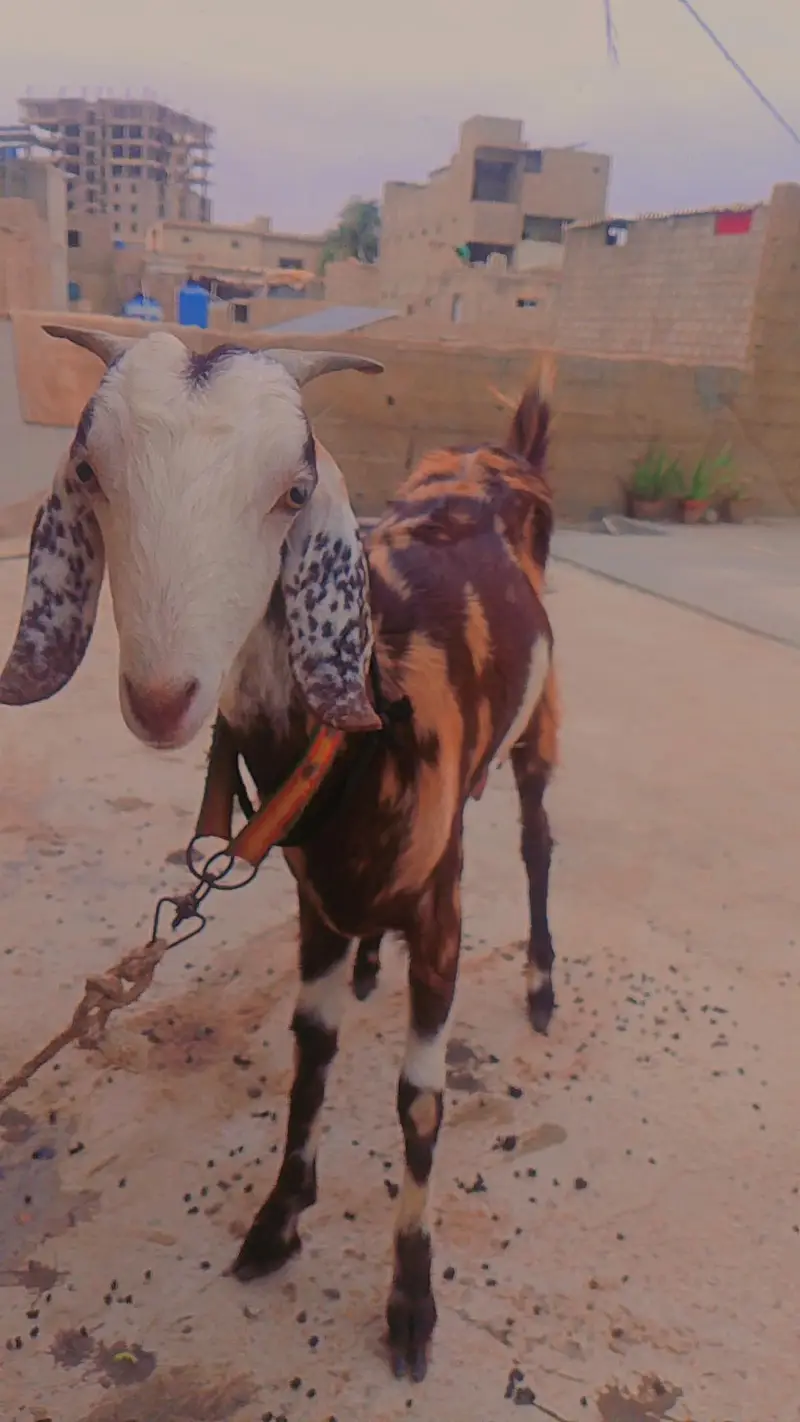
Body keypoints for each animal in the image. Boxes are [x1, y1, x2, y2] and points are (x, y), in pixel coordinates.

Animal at [0, 327, 559, 1382]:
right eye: (89, 471)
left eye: (295, 491)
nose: (163, 699)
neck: (362, 745)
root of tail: (505, 452)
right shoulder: (312, 909)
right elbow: (311, 1053)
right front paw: (278, 1219)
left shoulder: (444, 913)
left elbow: (420, 1100)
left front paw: (411, 1302)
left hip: (544, 722)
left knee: (541, 842)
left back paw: (544, 984)